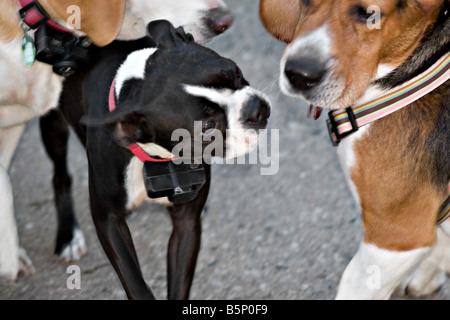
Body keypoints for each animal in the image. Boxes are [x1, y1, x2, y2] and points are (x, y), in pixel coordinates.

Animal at [42, 20, 272, 300]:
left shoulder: (186, 224)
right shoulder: (107, 220)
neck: (154, 156)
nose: (256, 109)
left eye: (236, 70)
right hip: (52, 122)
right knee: (60, 174)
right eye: (207, 126)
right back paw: (68, 236)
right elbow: (135, 281)